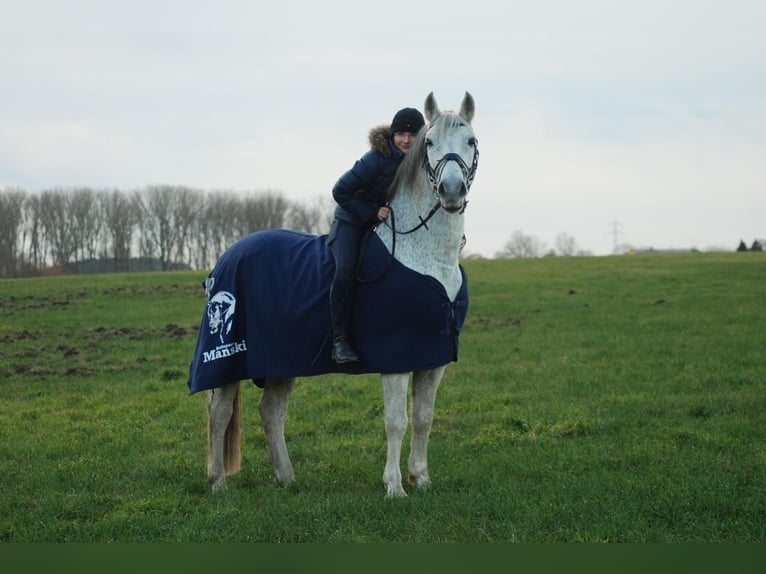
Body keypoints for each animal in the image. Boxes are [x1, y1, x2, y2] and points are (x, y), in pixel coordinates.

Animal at [195, 91, 476, 500]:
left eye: (470, 141)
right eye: (429, 143)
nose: (452, 191)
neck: (427, 257)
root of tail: (227, 257)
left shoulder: (432, 358)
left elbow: (424, 418)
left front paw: (420, 478)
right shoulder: (397, 359)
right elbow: (396, 421)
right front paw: (394, 487)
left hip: (281, 362)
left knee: (271, 411)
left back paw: (286, 477)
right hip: (228, 359)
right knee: (221, 412)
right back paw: (217, 481)